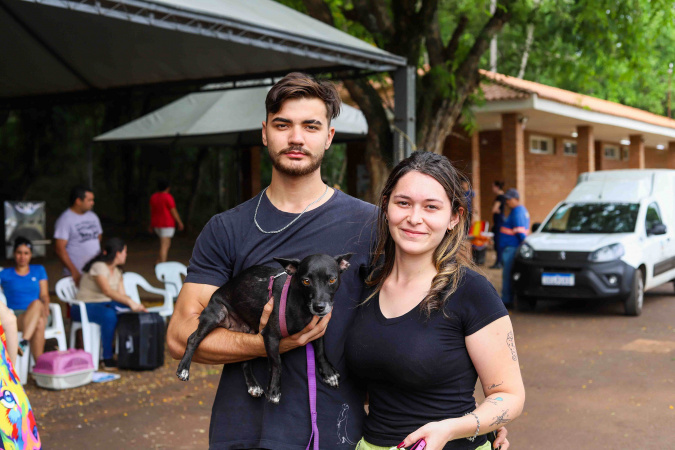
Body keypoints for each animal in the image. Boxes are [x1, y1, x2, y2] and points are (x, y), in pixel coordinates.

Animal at [177, 253, 352, 404]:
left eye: (332, 279)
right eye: (306, 281)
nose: (319, 307)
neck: (301, 305)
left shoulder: (317, 329)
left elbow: (321, 351)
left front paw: (328, 373)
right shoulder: (270, 336)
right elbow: (276, 363)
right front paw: (274, 390)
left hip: (248, 335)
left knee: (244, 362)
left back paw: (253, 385)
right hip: (216, 314)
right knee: (193, 339)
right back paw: (184, 369)